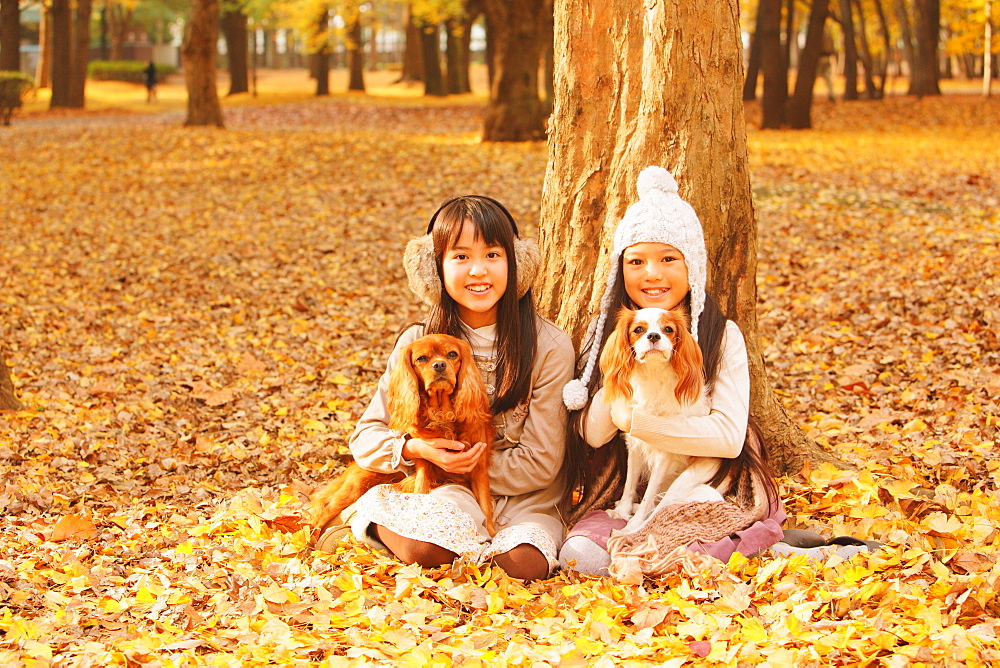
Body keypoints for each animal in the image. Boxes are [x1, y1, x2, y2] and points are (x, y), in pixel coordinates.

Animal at [308, 332, 496, 540]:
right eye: (421, 358)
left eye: (452, 354)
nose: (439, 365)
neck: (442, 413)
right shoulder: (425, 464)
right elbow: (421, 492)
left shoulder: (479, 466)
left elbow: (485, 506)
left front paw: (493, 534)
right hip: (357, 485)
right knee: (325, 511)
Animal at [596, 306, 724, 532]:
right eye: (638, 330)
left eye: (668, 329)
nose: (654, 336)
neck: (653, 375)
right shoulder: (635, 446)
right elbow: (629, 483)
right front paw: (623, 511)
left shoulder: (664, 456)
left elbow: (649, 495)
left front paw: (632, 525)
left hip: (686, 479)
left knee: (660, 507)